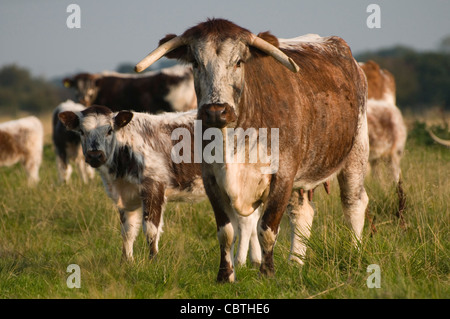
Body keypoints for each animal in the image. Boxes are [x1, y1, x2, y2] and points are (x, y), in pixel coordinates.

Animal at [59, 105, 264, 264]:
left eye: (109, 130)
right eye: (82, 132)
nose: (95, 155)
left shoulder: (153, 187)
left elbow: (150, 229)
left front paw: (153, 261)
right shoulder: (125, 198)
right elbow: (127, 232)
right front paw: (126, 261)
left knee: (246, 222)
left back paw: (240, 260)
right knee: (252, 218)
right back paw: (255, 260)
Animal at [134, 18, 370, 282]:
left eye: (239, 62)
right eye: (195, 63)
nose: (216, 111)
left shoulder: (283, 175)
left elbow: (266, 228)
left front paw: (267, 274)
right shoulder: (211, 180)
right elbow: (225, 231)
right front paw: (225, 275)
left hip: (356, 153)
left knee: (354, 204)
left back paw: (355, 254)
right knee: (302, 213)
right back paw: (295, 263)